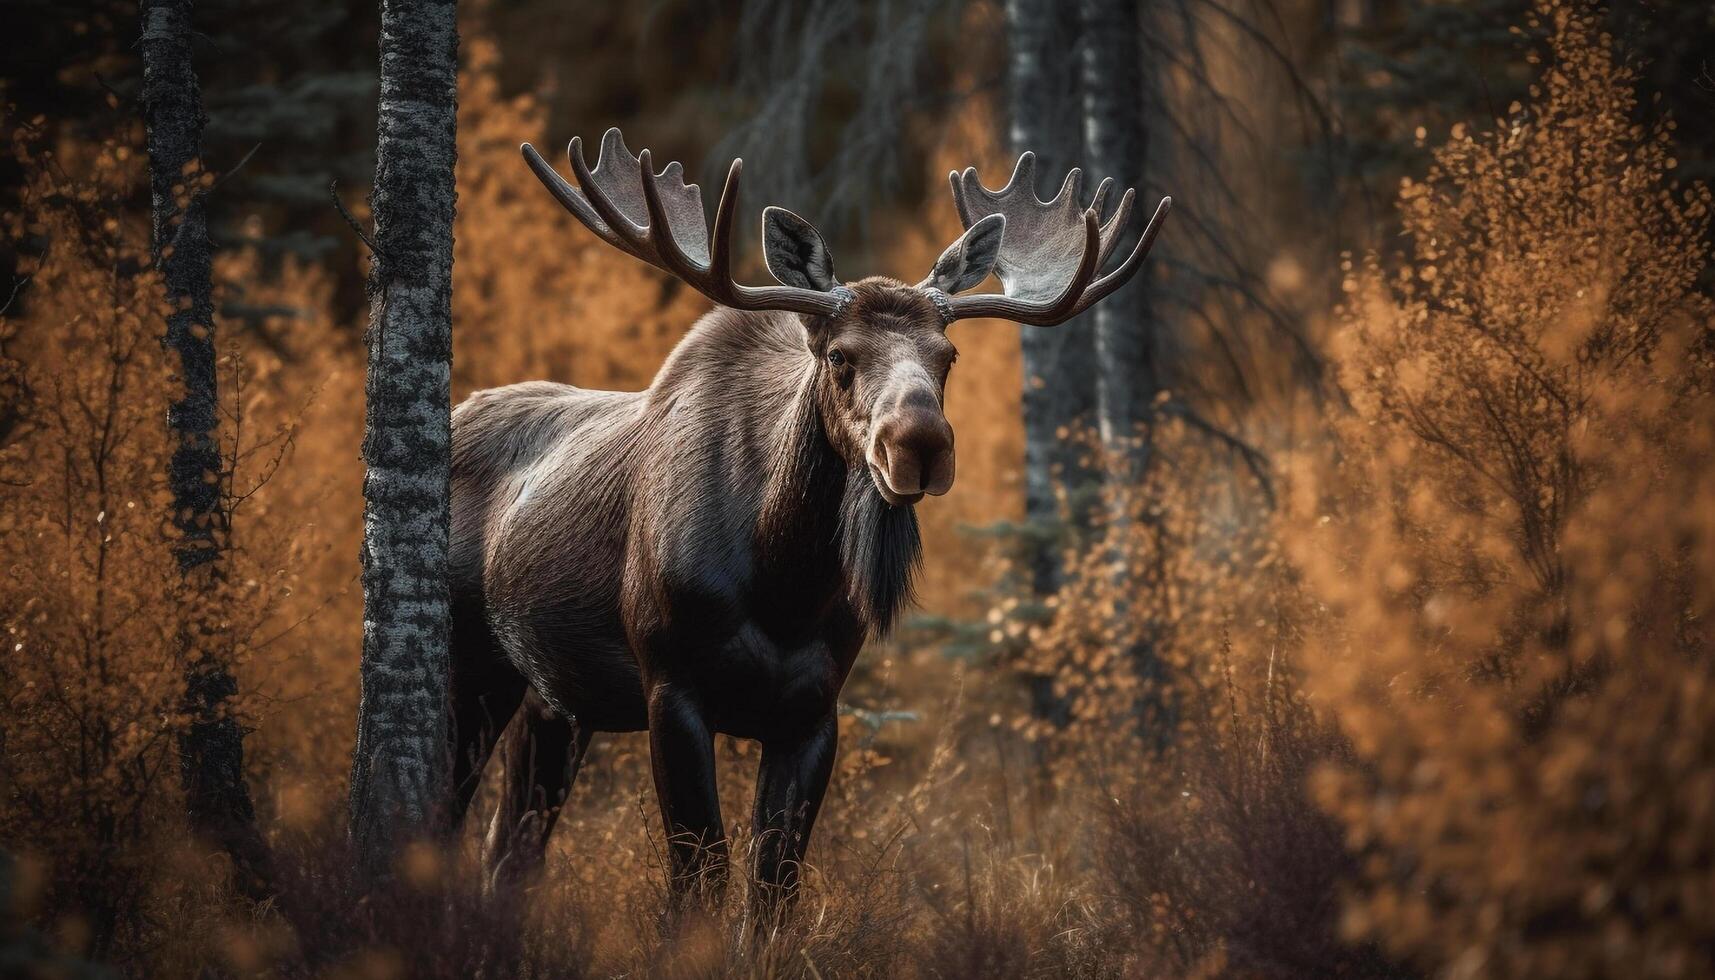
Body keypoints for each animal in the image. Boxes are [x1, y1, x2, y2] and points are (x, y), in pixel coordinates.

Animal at [442, 126, 1173, 906]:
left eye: (946, 356)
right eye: (840, 356)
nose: (919, 444)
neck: (783, 582)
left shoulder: (814, 710)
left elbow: (773, 888)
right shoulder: (670, 684)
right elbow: (701, 879)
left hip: (552, 700)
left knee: (508, 850)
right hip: (473, 667)